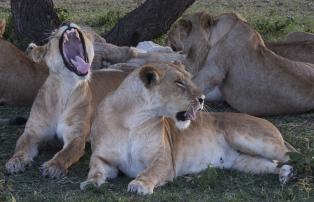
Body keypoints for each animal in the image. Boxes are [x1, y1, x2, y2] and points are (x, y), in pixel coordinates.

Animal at [5, 21, 127, 178]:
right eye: (53, 34)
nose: (66, 22)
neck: (64, 87)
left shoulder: (75, 136)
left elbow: (66, 153)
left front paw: (53, 166)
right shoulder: (32, 132)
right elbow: (21, 147)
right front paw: (15, 162)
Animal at [79, 62, 296, 195]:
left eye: (189, 79)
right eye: (179, 83)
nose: (202, 99)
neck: (134, 119)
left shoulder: (165, 160)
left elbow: (151, 172)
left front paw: (139, 184)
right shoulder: (103, 158)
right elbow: (95, 169)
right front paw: (90, 183)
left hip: (248, 138)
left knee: (291, 155)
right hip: (244, 162)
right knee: (277, 164)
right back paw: (286, 175)